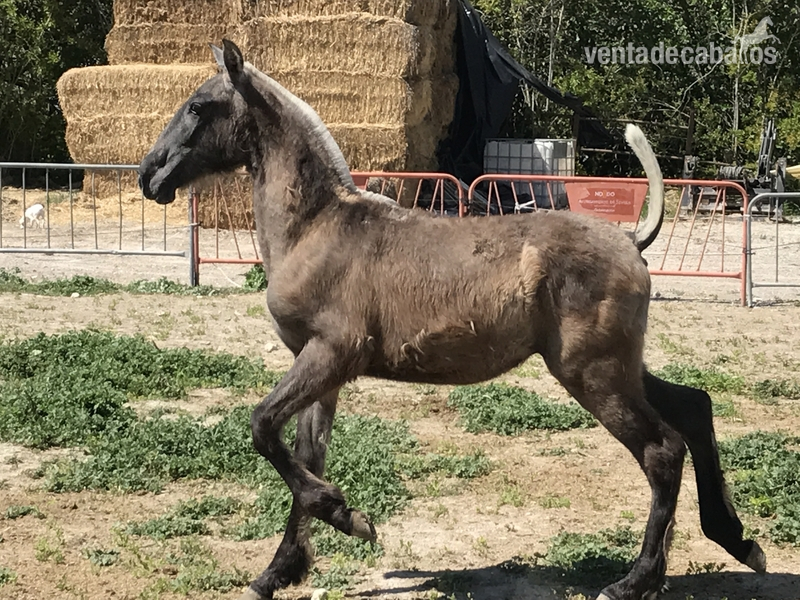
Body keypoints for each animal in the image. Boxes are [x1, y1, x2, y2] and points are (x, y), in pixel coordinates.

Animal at [138, 39, 766, 600]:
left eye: (198, 106)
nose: (149, 174)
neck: (318, 226)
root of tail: (632, 239)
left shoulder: (332, 354)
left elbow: (263, 428)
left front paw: (350, 516)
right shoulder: (319, 371)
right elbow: (304, 454)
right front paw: (279, 571)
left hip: (593, 374)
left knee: (663, 451)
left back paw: (634, 581)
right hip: (615, 367)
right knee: (694, 407)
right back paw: (737, 540)